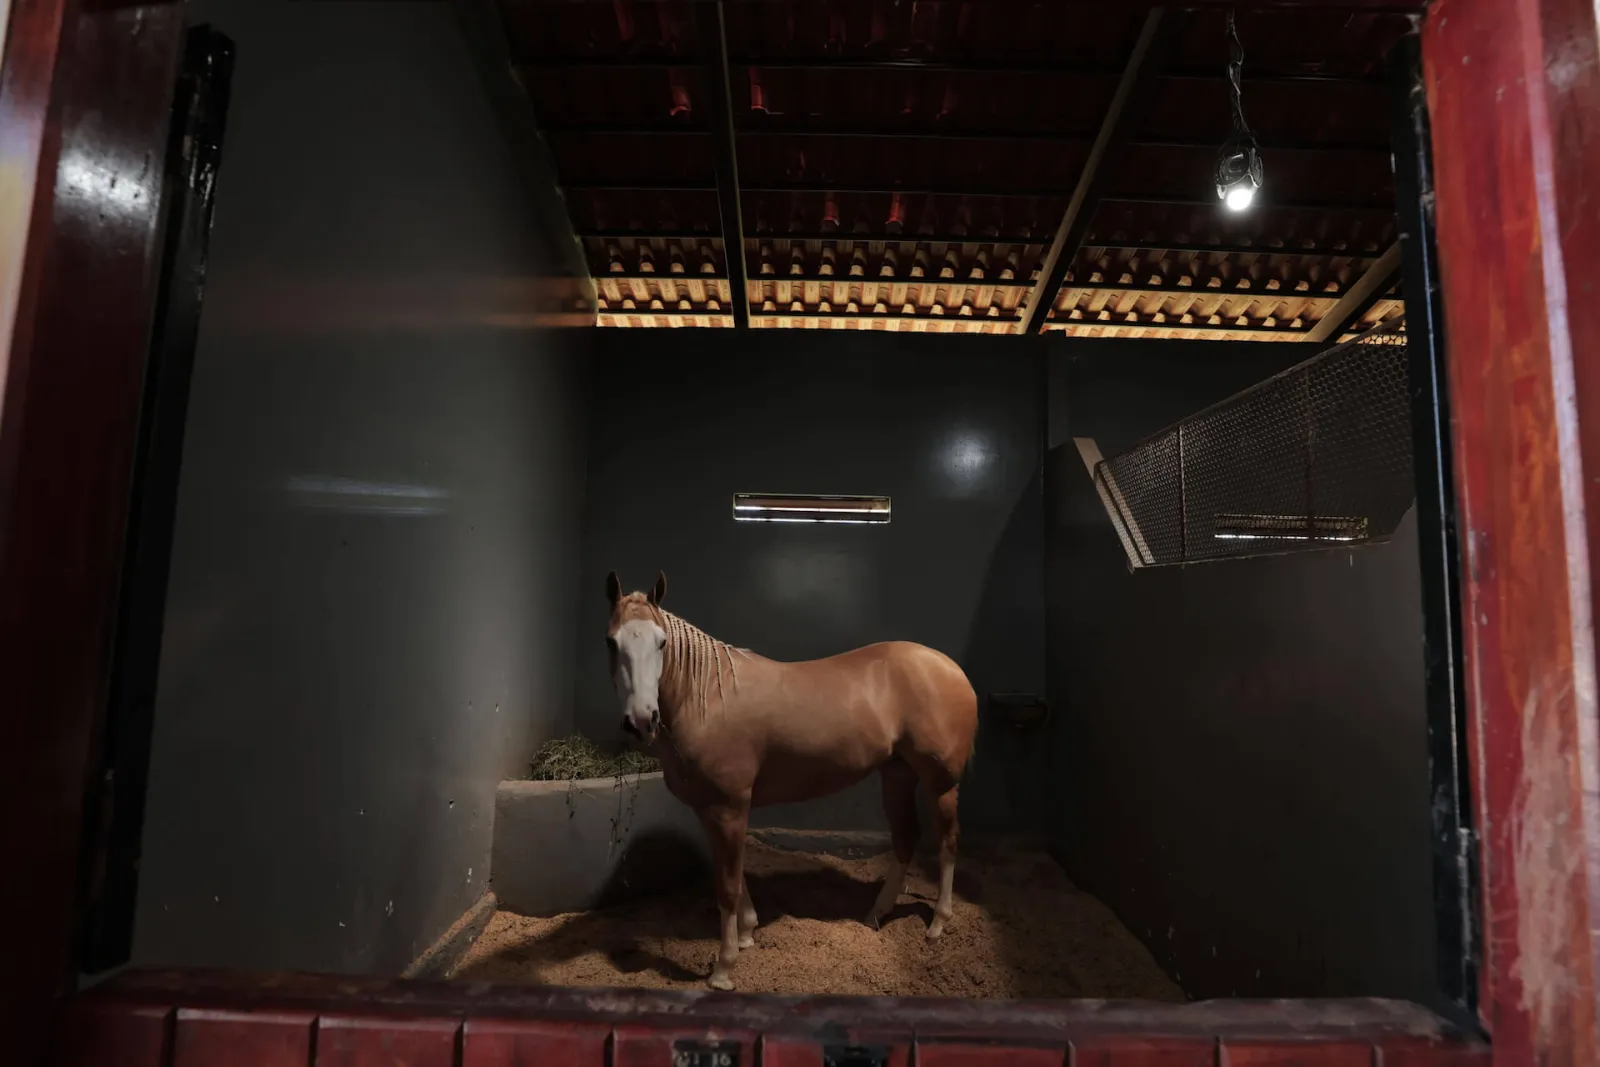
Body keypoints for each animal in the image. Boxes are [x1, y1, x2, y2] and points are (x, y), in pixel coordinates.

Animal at [604, 569, 979, 991]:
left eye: (662, 642)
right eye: (611, 642)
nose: (641, 720)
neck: (708, 698)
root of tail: (949, 668)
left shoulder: (729, 807)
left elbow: (727, 886)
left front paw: (724, 969)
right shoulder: (710, 809)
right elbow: (730, 873)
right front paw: (748, 933)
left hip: (940, 784)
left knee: (947, 842)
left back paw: (938, 924)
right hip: (897, 774)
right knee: (905, 838)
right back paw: (876, 914)